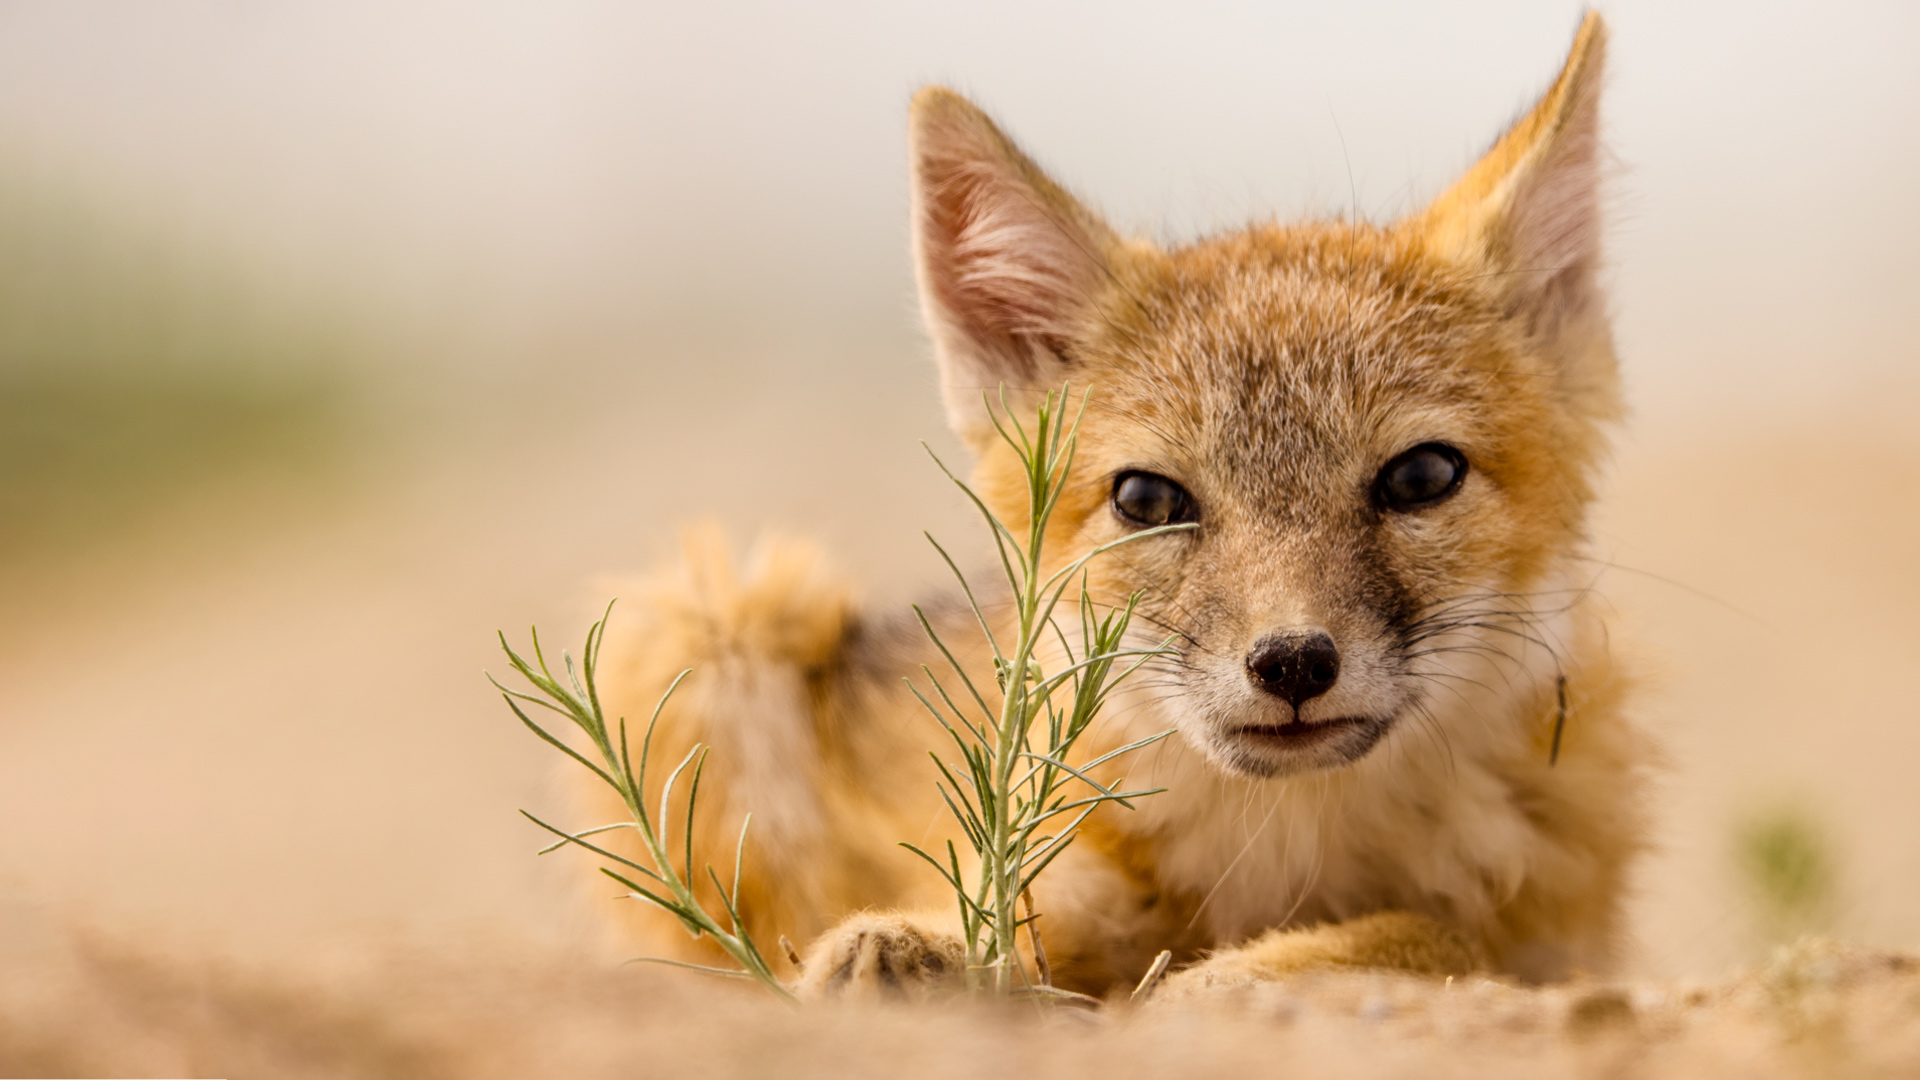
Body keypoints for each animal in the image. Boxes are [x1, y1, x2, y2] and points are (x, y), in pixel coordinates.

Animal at [583, 12, 1651, 999]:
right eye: (1147, 498)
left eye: (1422, 477)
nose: (1292, 662)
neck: (1287, 851)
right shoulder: (1064, 881)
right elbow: (1002, 930)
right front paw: (915, 951)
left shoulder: (1558, 934)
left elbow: (1426, 937)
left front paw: (1247, 973)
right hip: (712, 621)